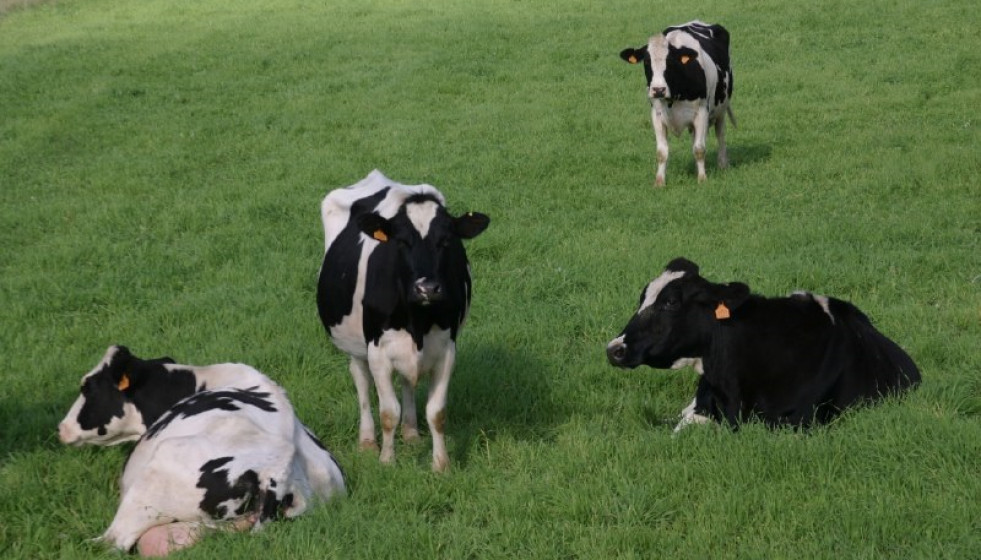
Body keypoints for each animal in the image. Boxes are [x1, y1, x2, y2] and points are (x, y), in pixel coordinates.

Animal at [316, 170, 489, 472]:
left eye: (446, 240)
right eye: (401, 241)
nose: (427, 288)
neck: (417, 319)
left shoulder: (446, 349)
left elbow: (436, 412)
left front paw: (441, 465)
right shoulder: (378, 351)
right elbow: (388, 412)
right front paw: (387, 460)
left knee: (408, 381)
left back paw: (410, 433)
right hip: (355, 344)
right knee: (361, 381)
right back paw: (367, 441)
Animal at [619, 21, 736, 187]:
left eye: (670, 61)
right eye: (647, 61)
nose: (658, 90)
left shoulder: (701, 112)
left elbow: (699, 149)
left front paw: (702, 178)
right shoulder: (657, 115)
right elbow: (662, 152)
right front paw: (659, 181)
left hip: (722, 107)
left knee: (720, 134)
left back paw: (722, 164)